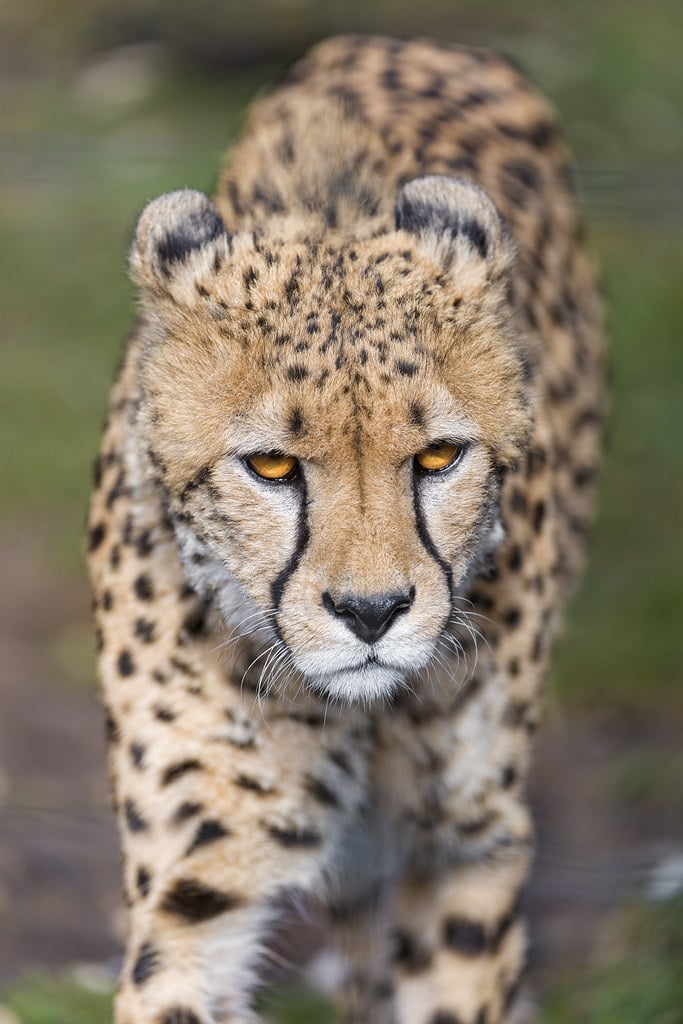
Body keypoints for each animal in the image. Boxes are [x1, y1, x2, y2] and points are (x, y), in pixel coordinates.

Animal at [87, 34, 604, 1024]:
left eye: (438, 456)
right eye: (272, 466)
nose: (372, 613)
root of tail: (408, 40)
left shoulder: (462, 848)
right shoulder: (199, 873)